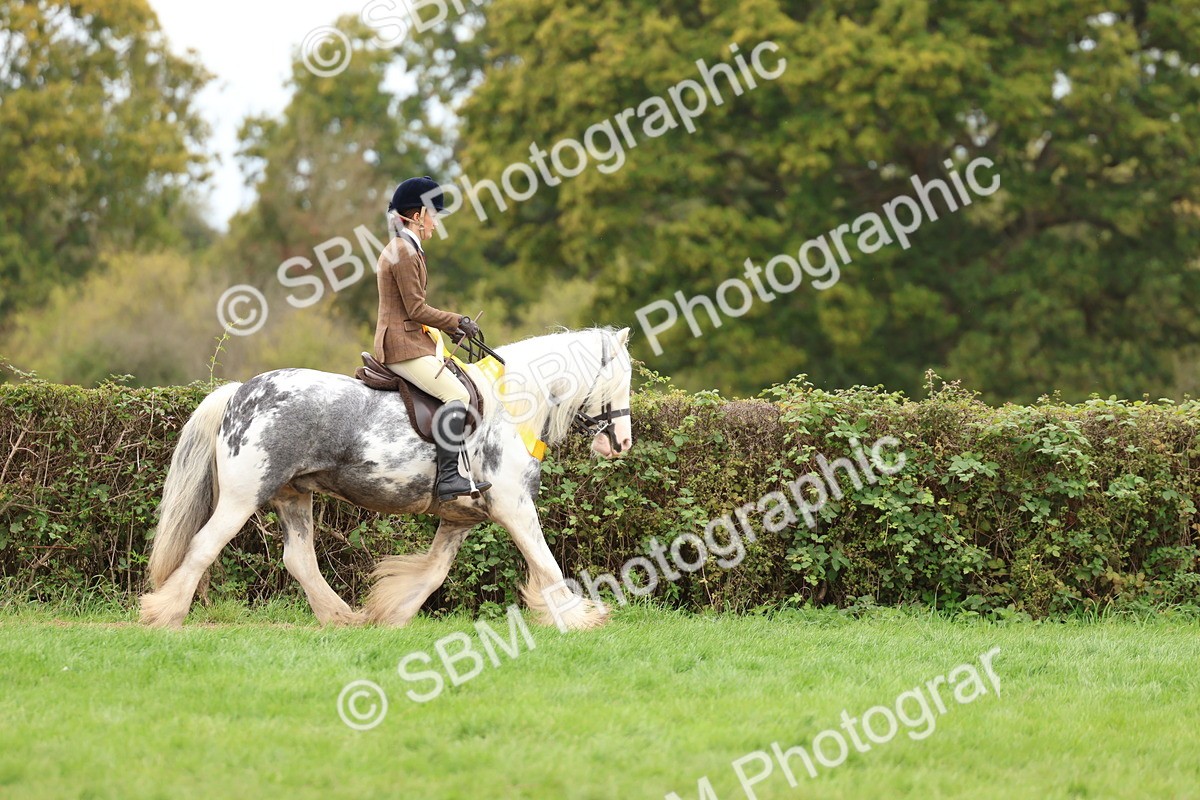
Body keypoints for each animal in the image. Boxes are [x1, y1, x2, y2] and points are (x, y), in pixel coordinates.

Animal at [139, 326, 634, 630]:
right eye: (620, 380)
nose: (623, 443)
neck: (513, 406)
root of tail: (239, 391)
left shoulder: (461, 517)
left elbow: (432, 573)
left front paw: (392, 614)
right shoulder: (514, 506)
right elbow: (546, 563)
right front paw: (581, 617)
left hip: (293, 496)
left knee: (299, 560)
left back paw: (343, 617)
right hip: (244, 496)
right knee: (203, 546)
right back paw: (164, 613)